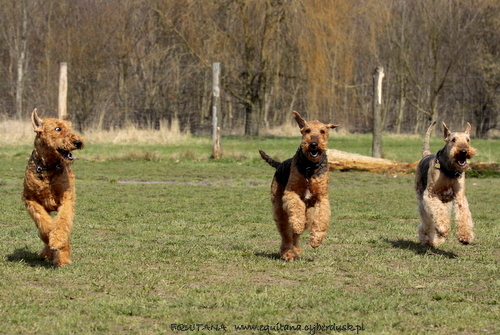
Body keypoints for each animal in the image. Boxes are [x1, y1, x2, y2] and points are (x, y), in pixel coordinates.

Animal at [22, 109, 84, 266]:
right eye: (57, 129)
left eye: (70, 127)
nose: (78, 142)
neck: (47, 167)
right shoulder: (30, 200)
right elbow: (44, 223)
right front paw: (51, 242)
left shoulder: (66, 200)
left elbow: (62, 221)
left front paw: (57, 242)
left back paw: (62, 257)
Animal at [260, 111, 338, 262]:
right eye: (307, 130)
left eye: (323, 131)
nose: (313, 144)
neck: (310, 167)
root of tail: (279, 164)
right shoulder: (291, 192)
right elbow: (296, 208)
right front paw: (297, 224)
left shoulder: (322, 198)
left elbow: (322, 218)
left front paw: (316, 240)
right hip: (280, 209)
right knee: (286, 233)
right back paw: (288, 253)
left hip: (308, 214)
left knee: (296, 234)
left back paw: (295, 250)